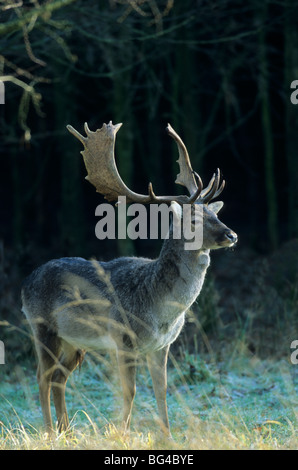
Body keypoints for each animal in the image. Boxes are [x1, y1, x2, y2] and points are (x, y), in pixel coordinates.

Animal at [21, 119, 237, 436]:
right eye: (195, 219)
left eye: (216, 213)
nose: (232, 235)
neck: (162, 311)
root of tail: (24, 285)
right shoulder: (124, 339)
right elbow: (130, 391)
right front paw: (121, 434)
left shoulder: (163, 346)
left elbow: (162, 391)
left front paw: (167, 436)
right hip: (42, 327)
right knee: (41, 377)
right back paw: (50, 432)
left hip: (74, 342)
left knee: (59, 378)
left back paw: (66, 431)